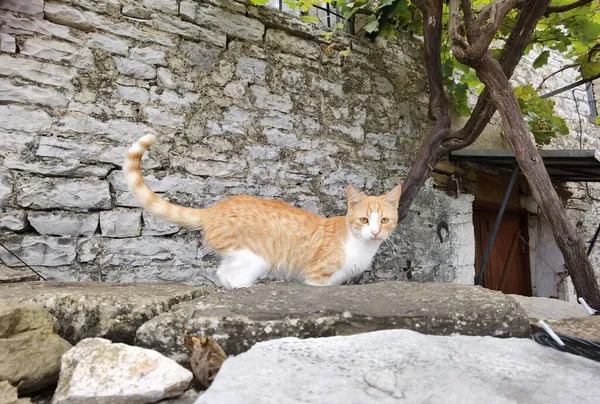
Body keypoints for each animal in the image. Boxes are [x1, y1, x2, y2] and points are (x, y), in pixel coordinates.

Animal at [123, 137, 400, 288]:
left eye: (384, 220)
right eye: (364, 220)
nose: (375, 232)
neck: (359, 244)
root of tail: (215, 209)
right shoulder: (317, 278)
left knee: (222, 273)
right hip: (255, 257)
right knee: (232, 276)